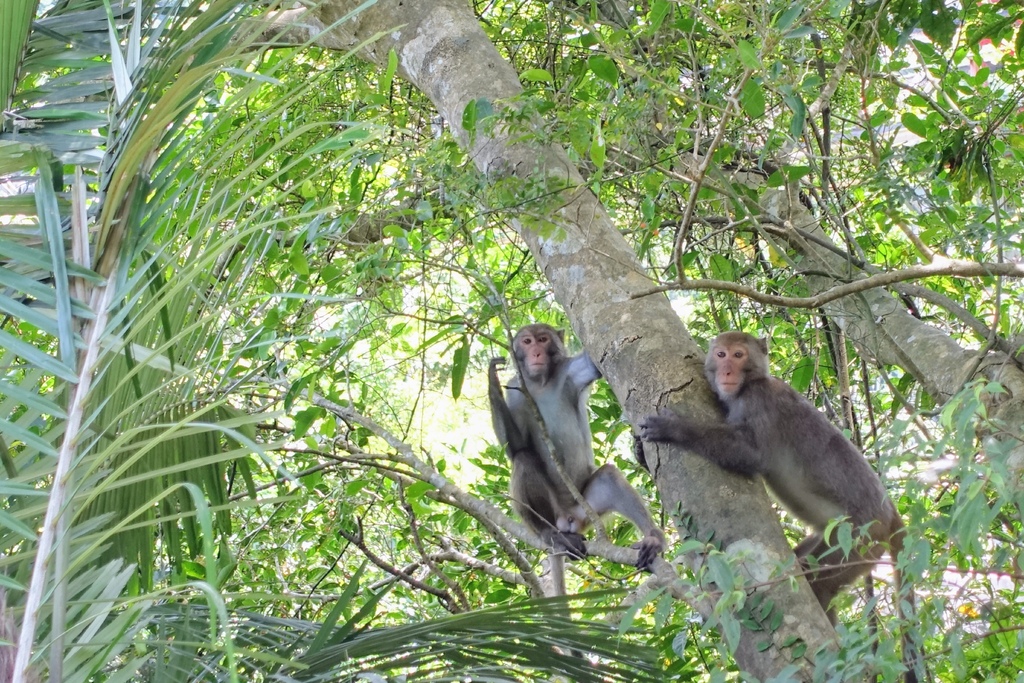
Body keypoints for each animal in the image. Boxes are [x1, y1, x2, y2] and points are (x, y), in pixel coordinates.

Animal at [489, 323, 667, 593]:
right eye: (527, 341)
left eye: (543, 339)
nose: (536, 353)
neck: (540, 382)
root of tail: (568, 519)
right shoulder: (516, 391)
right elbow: (516, 447)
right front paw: (492, 379)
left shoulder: (570, 371)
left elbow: (593, 364)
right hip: (555, 511)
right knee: (524, 459)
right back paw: (551, 535)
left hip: (587, 507)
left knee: (608, 477)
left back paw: (652, 539)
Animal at [638, 329, 921, 679]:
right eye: (721, 354)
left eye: (739, 355)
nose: (727, 371)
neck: (750, 384)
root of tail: (890, 513)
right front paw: (639, 452)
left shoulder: (760, 400)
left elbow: (751, 454)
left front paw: (675, 429)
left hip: (859, 540)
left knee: (818, 581)